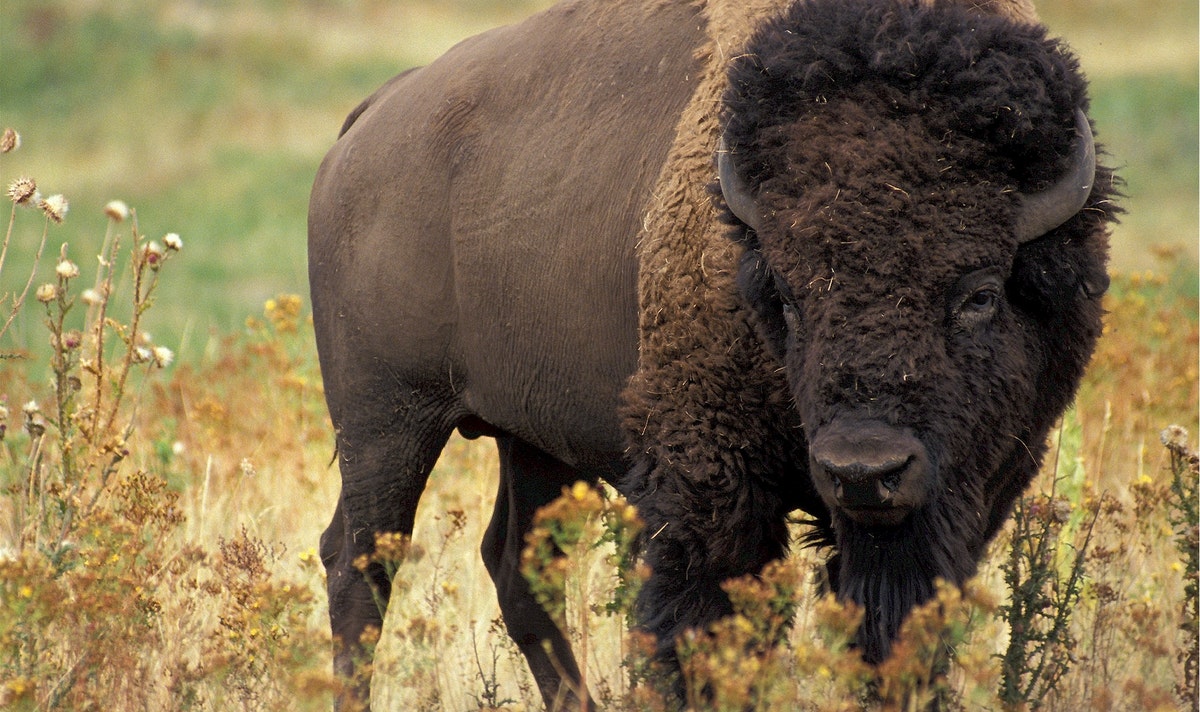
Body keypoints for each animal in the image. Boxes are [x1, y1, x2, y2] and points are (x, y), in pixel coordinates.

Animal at [307, 0, 1113, 705]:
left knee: (517, 568)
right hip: (388, 421)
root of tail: (371, 119)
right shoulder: (709, 485)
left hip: (531, 440)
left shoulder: (968, 498)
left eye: (980, 293)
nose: (864, 470)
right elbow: (705, 632)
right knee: (358, 565)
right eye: (784, 295)